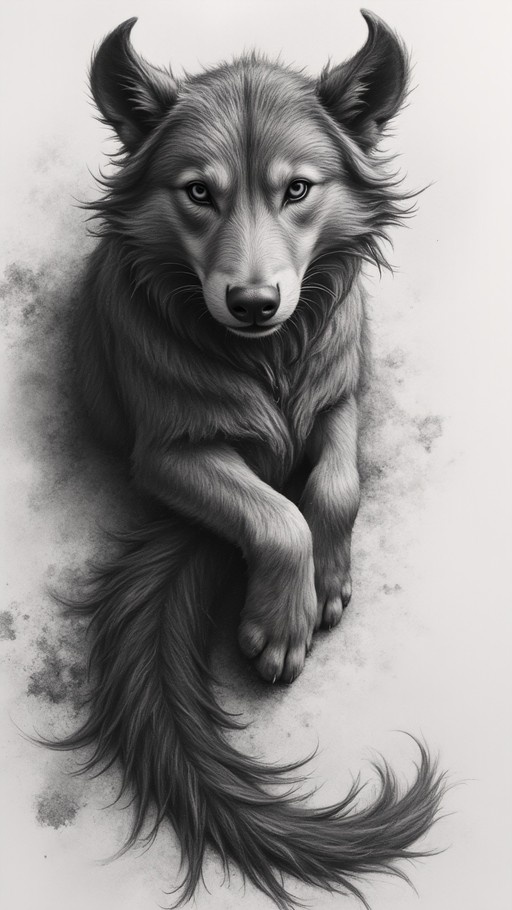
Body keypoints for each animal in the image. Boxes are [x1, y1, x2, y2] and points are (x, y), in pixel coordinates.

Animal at [51, 11, 445, 909]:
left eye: (297, 189)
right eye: (199, 192)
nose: (255, 303)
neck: (268, 358)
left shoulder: (343, 396)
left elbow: (333, 488)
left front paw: (326, 584)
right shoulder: (165, 453)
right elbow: (276, 515)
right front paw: (280, 625)